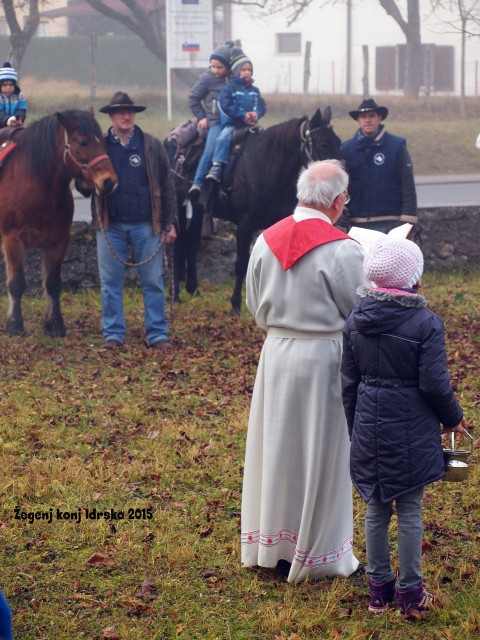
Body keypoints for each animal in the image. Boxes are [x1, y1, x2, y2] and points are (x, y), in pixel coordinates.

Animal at [0, 110, 117, 338]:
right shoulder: (12, 240)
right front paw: (15, 325)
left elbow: (53, 283)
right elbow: (16, 283)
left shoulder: (58, 241)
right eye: (82, 142)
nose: (109, 181)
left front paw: (55, 324)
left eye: (102, 141)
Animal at [171, 107, 344, 312]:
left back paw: (193, 289)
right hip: (179, 211)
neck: (267, 165)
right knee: (176, 245)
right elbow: (242, 264)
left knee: (191, 243)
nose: (343, 177)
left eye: (338, 142)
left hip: (197, 211)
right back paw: (175, 296)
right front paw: (235, 305)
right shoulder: (245, 225)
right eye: (324, 144)